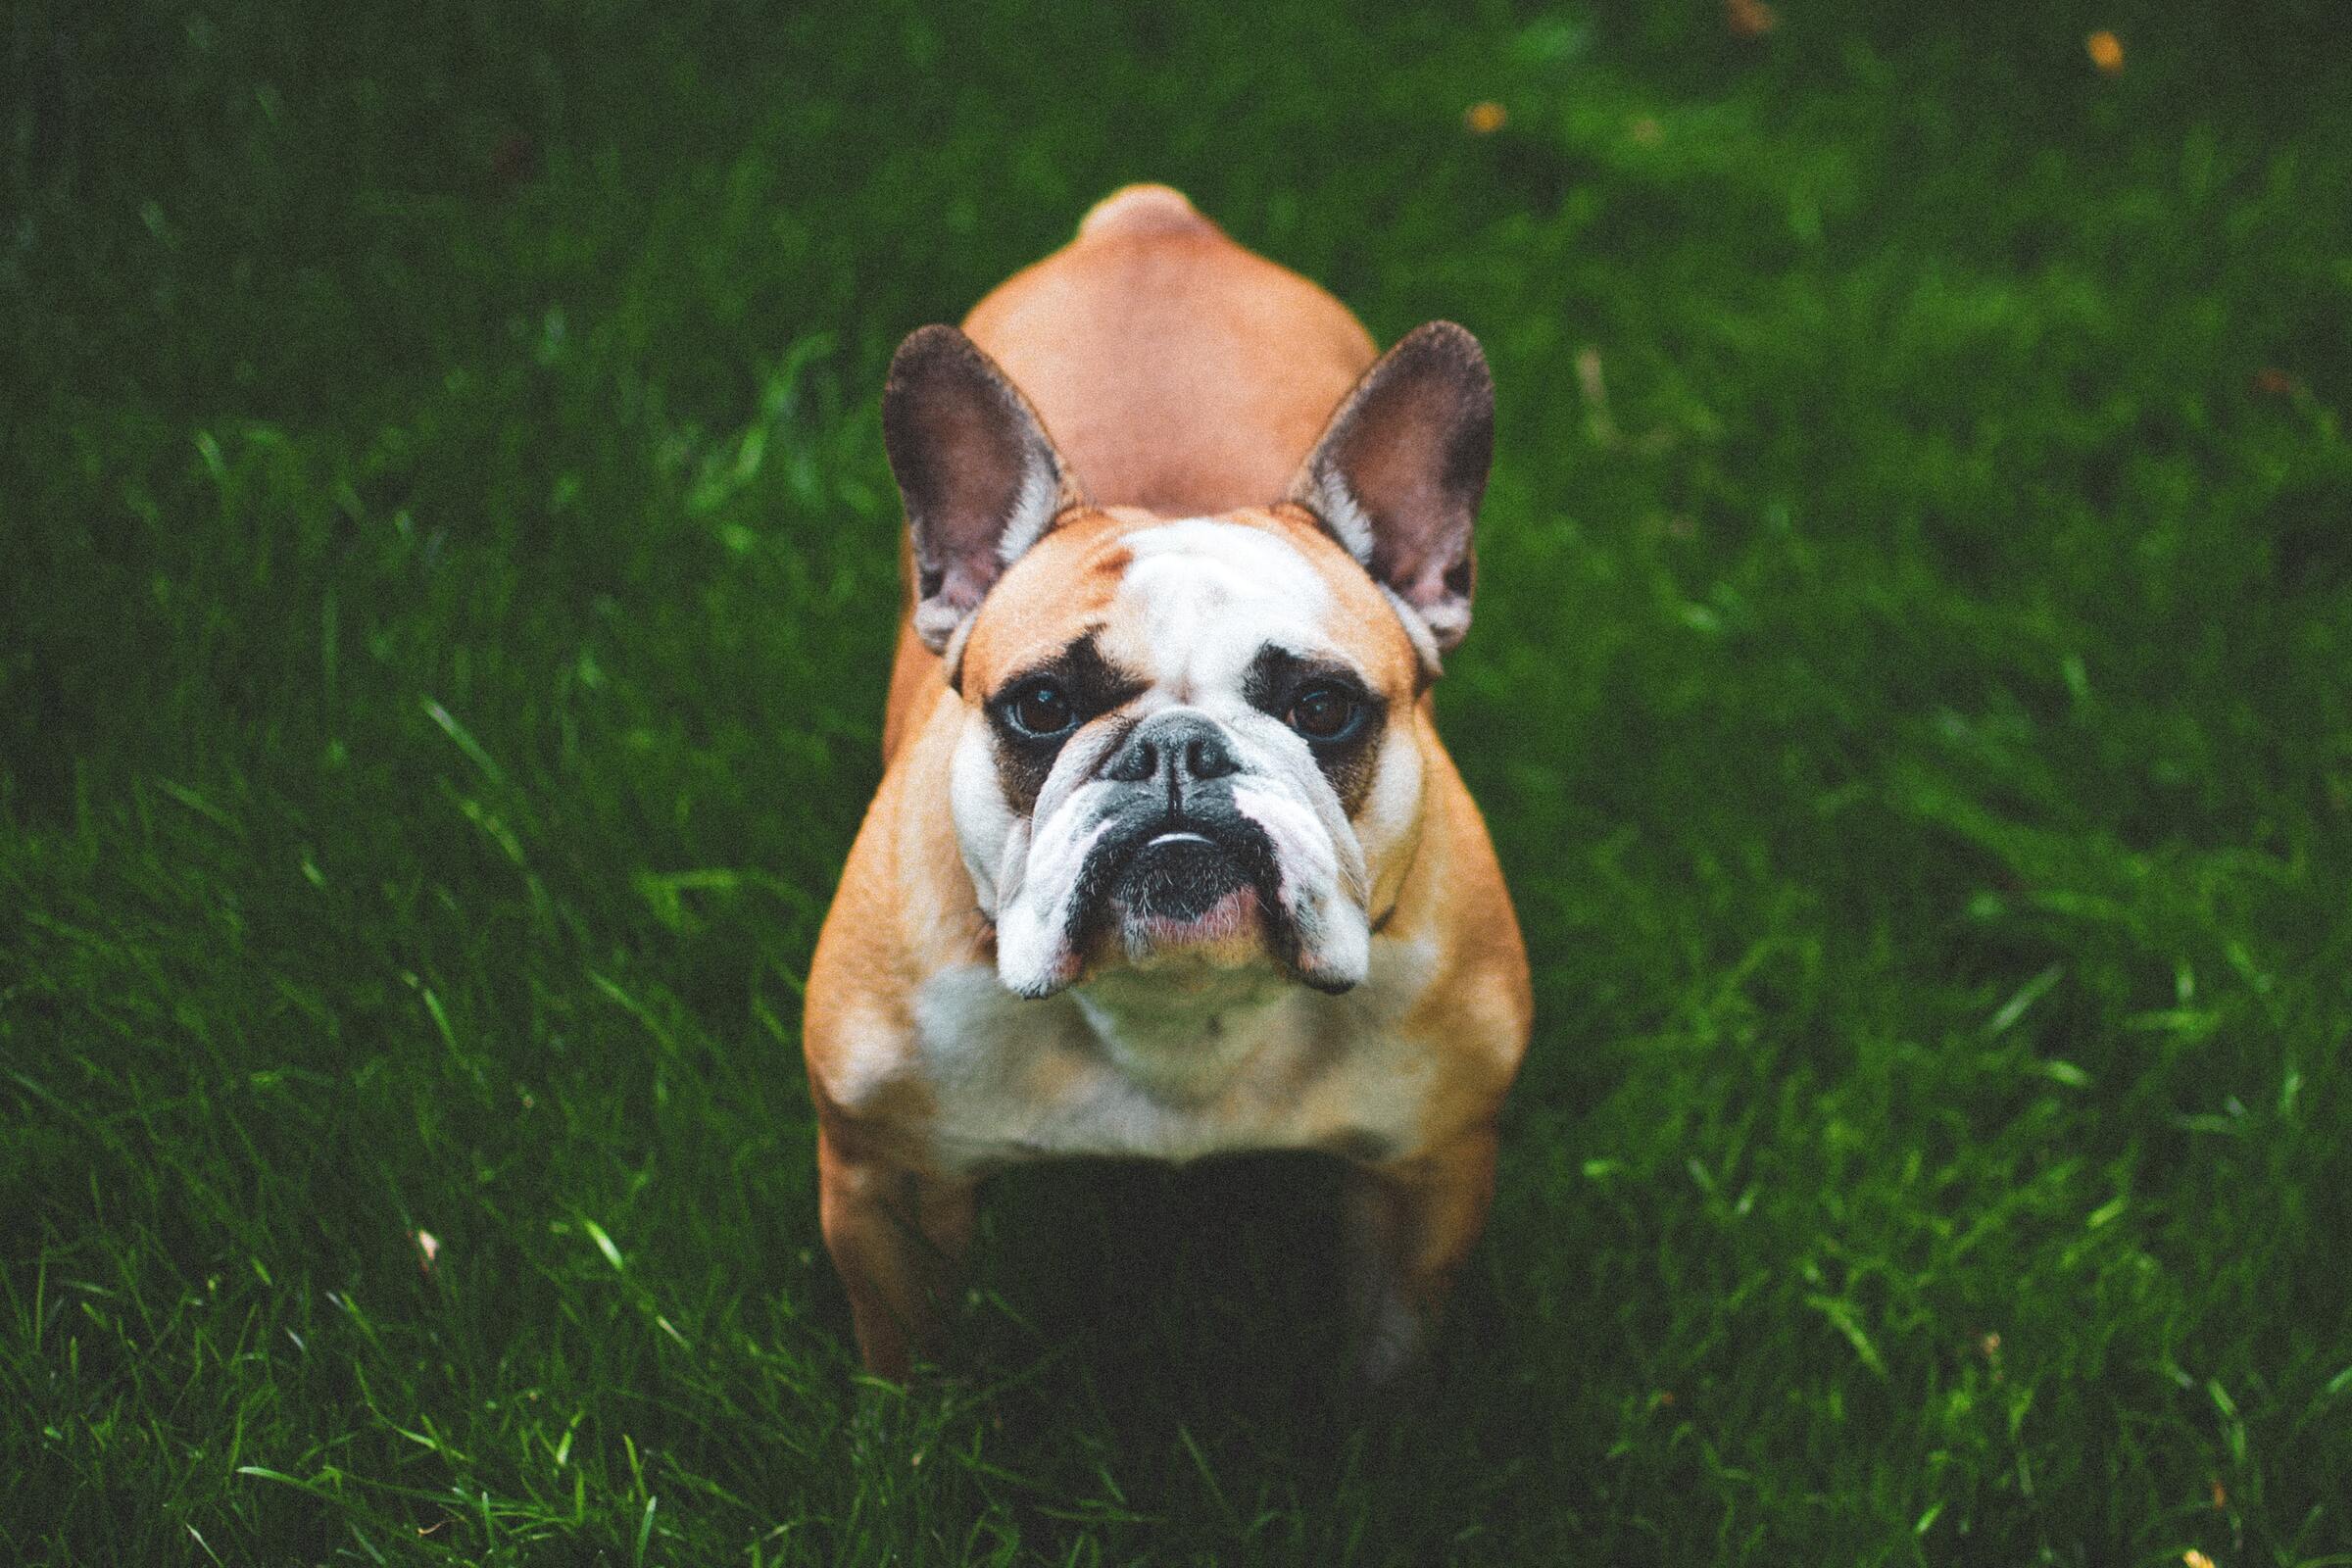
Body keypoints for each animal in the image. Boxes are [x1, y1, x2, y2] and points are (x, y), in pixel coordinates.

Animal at [808, 186, 1533, 1382]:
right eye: (1041, 705)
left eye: (1323, 707)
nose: (1177, 751)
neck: (1181, 1006)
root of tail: (1153, 217)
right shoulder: (888, 1183)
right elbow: (909, 1361)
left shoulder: (1427, 1174)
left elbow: (1389, 1358)